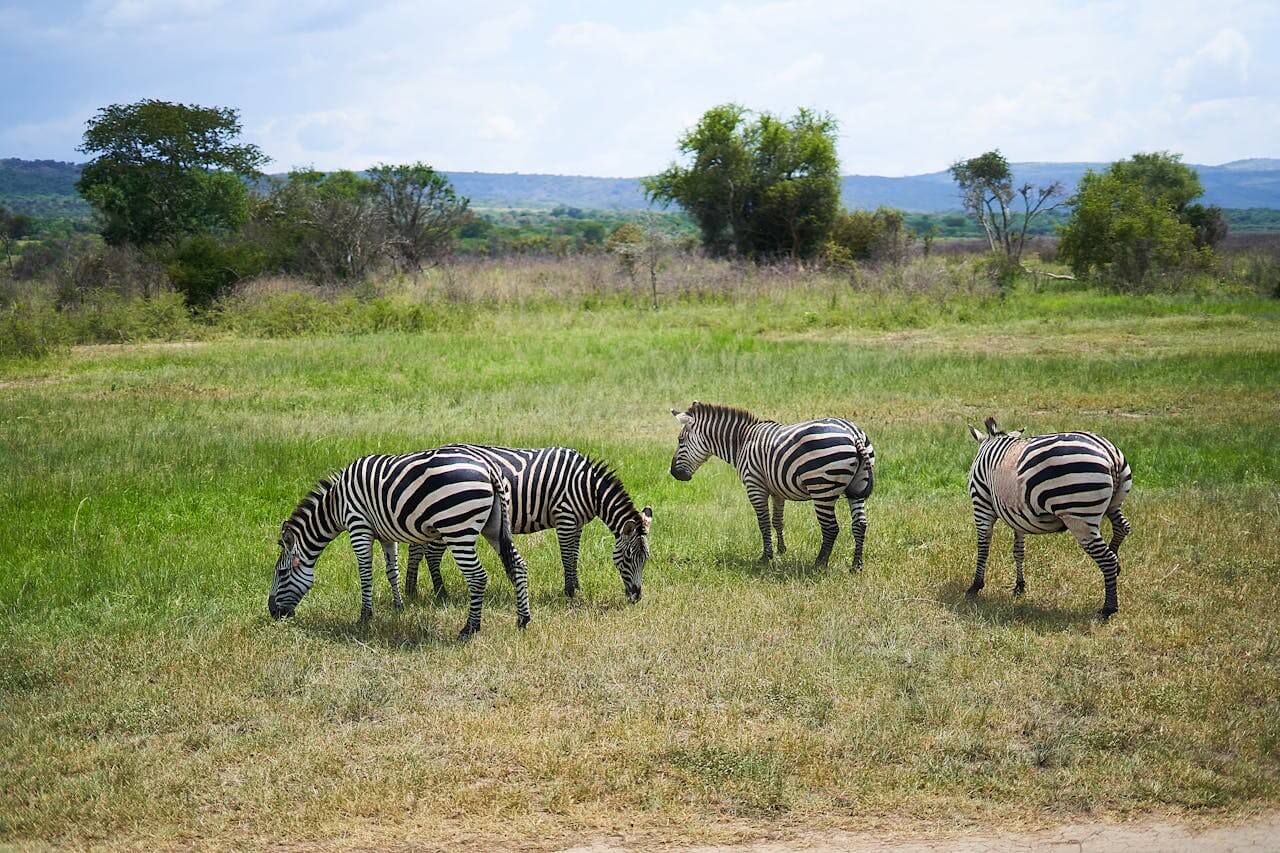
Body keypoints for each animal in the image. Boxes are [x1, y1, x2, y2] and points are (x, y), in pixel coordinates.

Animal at [269, 445, 531, 638]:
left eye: (281, 574)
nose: (273, 613)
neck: (336, 504)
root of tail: (488, 466)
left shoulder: (358, 526)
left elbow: (365, 573)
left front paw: (365, 616)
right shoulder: (385, 535)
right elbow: (391, 570)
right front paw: (399, 606)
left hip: (458, 529)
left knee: (477, 577)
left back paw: (470, 629)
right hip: (494, 526)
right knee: (518, 565)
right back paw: (522, 620)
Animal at [404, 445, 652, 603]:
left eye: (646, 559)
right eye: (628, 558)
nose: (636, 597)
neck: (589, 489)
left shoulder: (577, 523)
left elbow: (575, 555)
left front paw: (576, 586)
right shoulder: (565, 518)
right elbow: (567, 556)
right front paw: (569, 592)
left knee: (418, 548)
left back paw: (411, 590)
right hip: (452, 520)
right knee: (431, 554)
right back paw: (440, 594)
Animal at [668, 401, 875, 570]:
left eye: (680, 440)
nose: (674, 474)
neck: (741, 441)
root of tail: (853, 434)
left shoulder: (755, 486)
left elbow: (763, 522)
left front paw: (766, 557)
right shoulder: (777, 490)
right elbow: (777, 520)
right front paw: (781, 549)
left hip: (821, 488)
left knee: (831, 528)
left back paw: (819, 564)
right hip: (857, 487)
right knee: (860, 524)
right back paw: (856, 565)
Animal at [966, 417, 1133, 618]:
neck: (991, 444)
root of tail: (1109, 454)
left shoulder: (981, 504)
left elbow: (983, 547)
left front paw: (976, 586)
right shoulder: (1018, 515)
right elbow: (1018, 550)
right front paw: (1019, 586)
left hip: (1080, 517)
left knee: (1107, 559)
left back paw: (1108, 608)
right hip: (1114, 504)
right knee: (1122, 528)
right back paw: (1117, 563)